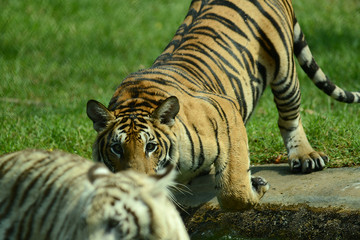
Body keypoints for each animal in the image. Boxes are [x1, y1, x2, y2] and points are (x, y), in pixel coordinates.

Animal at [86, 0, 358, 210]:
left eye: (151, 146)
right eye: (116, 148)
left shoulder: (226, 111)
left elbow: (233, 187)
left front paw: (256, 188)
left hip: (285, 71)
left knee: (289, 117)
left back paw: (305, 156)